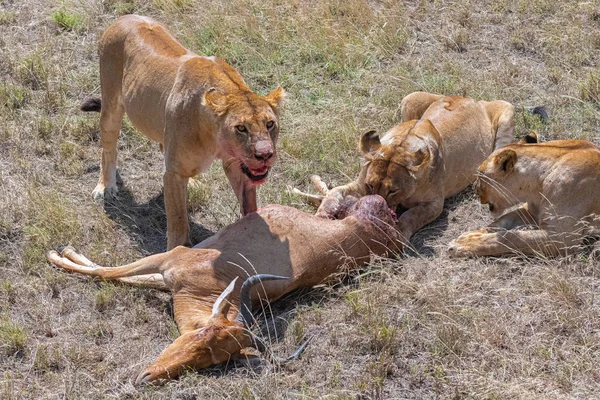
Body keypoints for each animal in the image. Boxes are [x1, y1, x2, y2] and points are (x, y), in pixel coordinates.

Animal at [47, 195, 398, 386]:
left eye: (214, 361)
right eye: (200, 334)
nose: (147, 377)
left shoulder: (169, 270)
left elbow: (112, 275)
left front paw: (60, 254)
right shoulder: (168, 262)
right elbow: (110, 273)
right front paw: (58, 253)